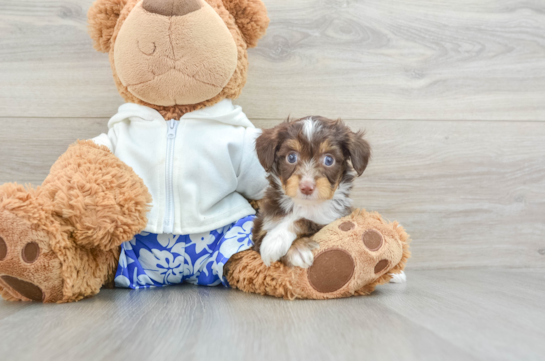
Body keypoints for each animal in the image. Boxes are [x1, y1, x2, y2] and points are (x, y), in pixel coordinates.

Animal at [253, 116, 372, 268]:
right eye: (291, 157)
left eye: (329, 160)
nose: (307, 187)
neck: (304, 205)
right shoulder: (260, 229)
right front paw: (295, 249)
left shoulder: (333, 218)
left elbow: (305, 220)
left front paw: (276, 240)